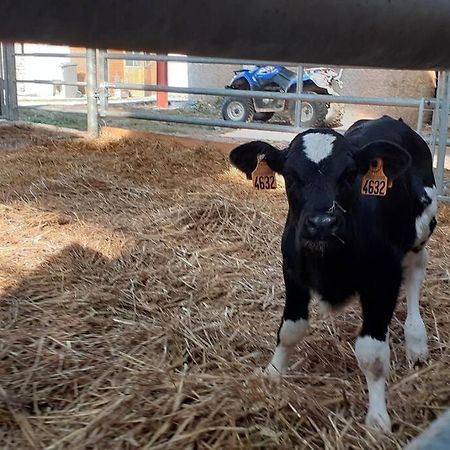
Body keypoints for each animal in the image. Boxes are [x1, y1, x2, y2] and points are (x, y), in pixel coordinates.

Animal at [230, 117, 438, 432]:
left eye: (350, 173)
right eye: (290, 175)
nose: (322, 223)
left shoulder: (383, 281)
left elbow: (373, 355)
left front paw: (378, 418)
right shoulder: (292, 272)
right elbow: (289, 330)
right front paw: (272, 372)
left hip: (420, 232)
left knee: (415, 273)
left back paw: (416, 341)